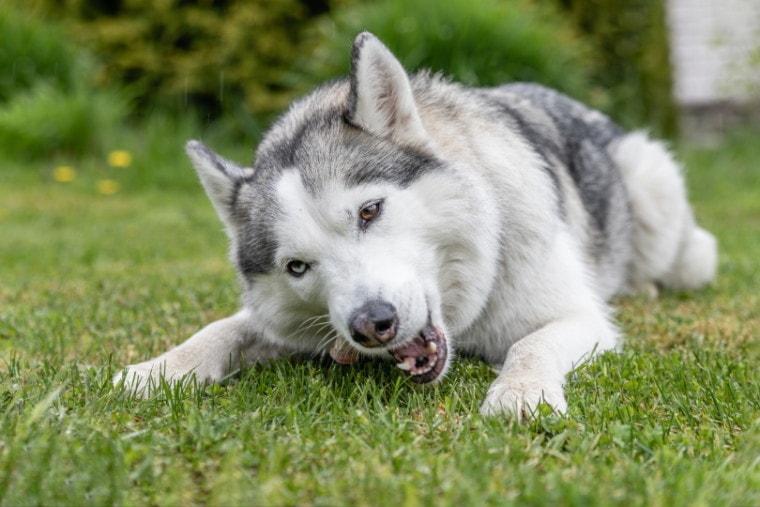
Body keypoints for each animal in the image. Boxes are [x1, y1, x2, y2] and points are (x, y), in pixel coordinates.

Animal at [114, 32, 720, 420]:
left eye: (369, 211)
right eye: (297, 267)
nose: (371, 325)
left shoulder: (578, 319)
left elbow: (530, 346)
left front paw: (520, 395)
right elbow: (223, 328)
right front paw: (156, 369)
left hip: (661, 197)